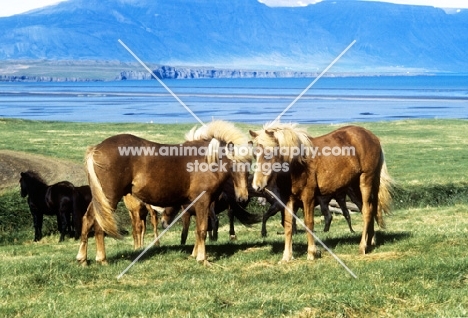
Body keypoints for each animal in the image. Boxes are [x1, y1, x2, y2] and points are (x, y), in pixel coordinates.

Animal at [76, 120, 252, 264]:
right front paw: (202, 259)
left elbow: (197, 230)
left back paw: (83, 259)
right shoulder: (203, 202)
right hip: (108, 197)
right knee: (98, 224)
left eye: (249, 166)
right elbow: (202, 229)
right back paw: (101, 258)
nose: (243, 198)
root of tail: (96, 149)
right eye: (233, 165)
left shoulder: (195, 204)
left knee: (88, 219)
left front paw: (194, 254)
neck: (207, 160)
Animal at [250, 122, 394, 260]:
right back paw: (370, 241)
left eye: (269, 153)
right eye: (255, 155)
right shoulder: (289, 199)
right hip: (355, 186)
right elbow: (288, 225)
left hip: (366, 180)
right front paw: (286, 256)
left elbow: (309, 223)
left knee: (367, 211)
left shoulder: (308, 197)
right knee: (369, 209)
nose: (257, 186)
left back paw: (363, 246)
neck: (299, 165)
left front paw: (311, 253)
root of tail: (373, 137)